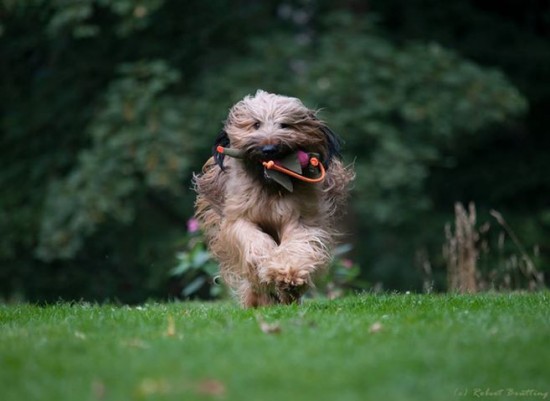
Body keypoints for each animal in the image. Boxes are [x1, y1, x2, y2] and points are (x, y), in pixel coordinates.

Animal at [194, 90, 354, 307]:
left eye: (285, 125)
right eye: (256, 124)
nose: (269, 149)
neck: (271, 186)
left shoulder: (300, 217)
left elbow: (297, 244)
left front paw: (288, 274)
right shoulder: (238, 217)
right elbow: (254, 240)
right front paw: (266, 266)